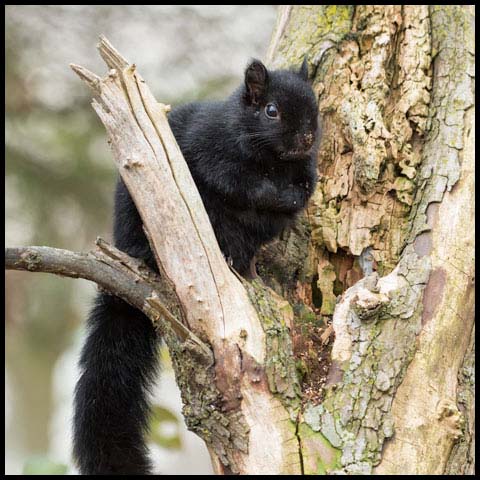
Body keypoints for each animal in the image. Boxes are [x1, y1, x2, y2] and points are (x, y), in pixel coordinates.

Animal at [72, 58, 318, 474]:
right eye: (271, 110)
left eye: (315, 106)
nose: (306, 139)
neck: (273, 160)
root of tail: (128, 251)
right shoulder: (210, 146)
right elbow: (232, 179)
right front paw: (270, 192)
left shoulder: (305, 171)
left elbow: (303, 191)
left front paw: (290, 195)